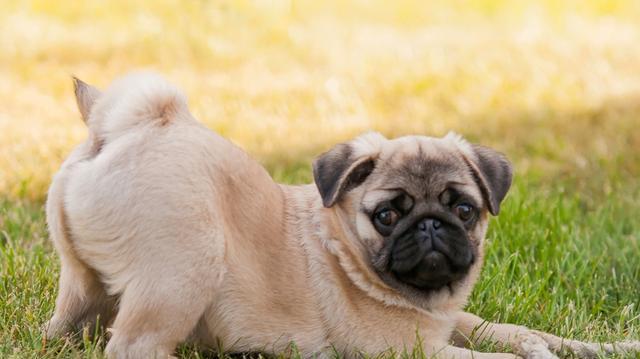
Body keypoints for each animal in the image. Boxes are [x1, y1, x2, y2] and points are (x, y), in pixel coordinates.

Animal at [47, 73, 640, 359]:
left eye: (463, 209)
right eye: (388, 214)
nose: (430, 226)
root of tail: (124, 130)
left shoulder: (453, 322)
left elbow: (520, 332)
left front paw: (606, 347)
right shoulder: (411, 350)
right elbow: (501, 358)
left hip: (81, 284)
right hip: (185, 269)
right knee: (134, 346)